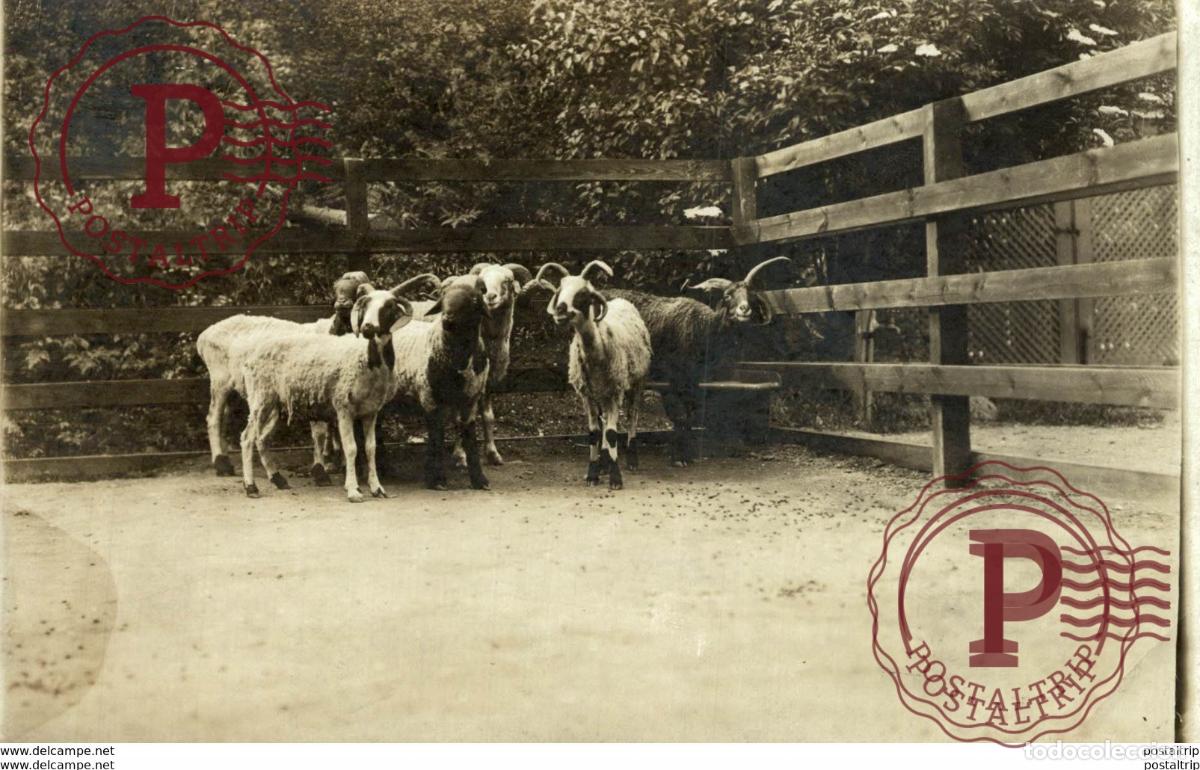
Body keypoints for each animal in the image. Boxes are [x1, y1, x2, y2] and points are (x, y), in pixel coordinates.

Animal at [236, 285, 413, 502]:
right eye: (366, 305)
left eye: (388, 306)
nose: (368, 328)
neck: (368, 359)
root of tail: (250, 355)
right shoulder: (343, 408)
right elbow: (351, 448)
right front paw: (353, 490)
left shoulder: (370, 412)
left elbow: (370, 449)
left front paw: (377, 488)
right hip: (259, 398)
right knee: (247, 438)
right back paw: (251, 487)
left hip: (275, 405)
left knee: (262, 438)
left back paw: (278, 479)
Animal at [533, 260, 651, 490]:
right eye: (560, 290)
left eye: (583, 294)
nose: (560, 310)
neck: (598, 346)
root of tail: (622, 301)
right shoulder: (586, 394)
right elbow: (594, 433)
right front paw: (593, 473)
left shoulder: (614, 391)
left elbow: (613, 434)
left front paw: (615, 478)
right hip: (600, 393)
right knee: (603, 421)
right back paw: (604, 461)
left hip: (636, 381)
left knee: (632, 416)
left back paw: (632, 459)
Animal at [605, 256, 791, 466]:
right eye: (727, 296)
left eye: (750, 295)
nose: (744, 309)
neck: (704, 328)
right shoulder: (672, 381)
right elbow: (679, 416)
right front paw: (678, 458)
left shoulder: (693, 381)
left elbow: (690, 414)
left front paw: (688, 454)